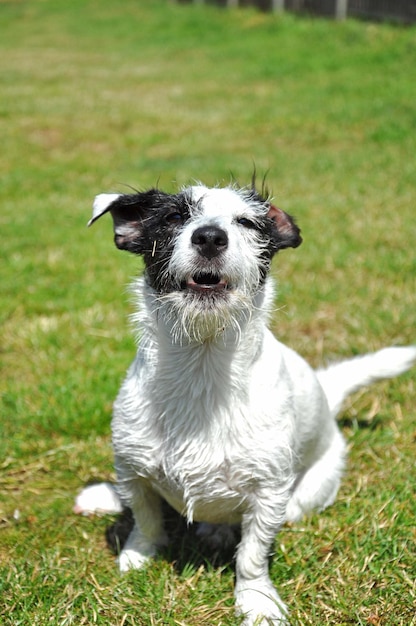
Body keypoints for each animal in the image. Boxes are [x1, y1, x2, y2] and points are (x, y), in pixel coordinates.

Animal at [82, 183, 416, 620]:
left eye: (246, 222)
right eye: (173, 217)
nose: (209, 237)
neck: (203, 367)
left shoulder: (269, 494)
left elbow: (252, 554)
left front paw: (257, 600)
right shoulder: (132, 470)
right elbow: (146, 520)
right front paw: (137, 556)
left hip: (304, 496)